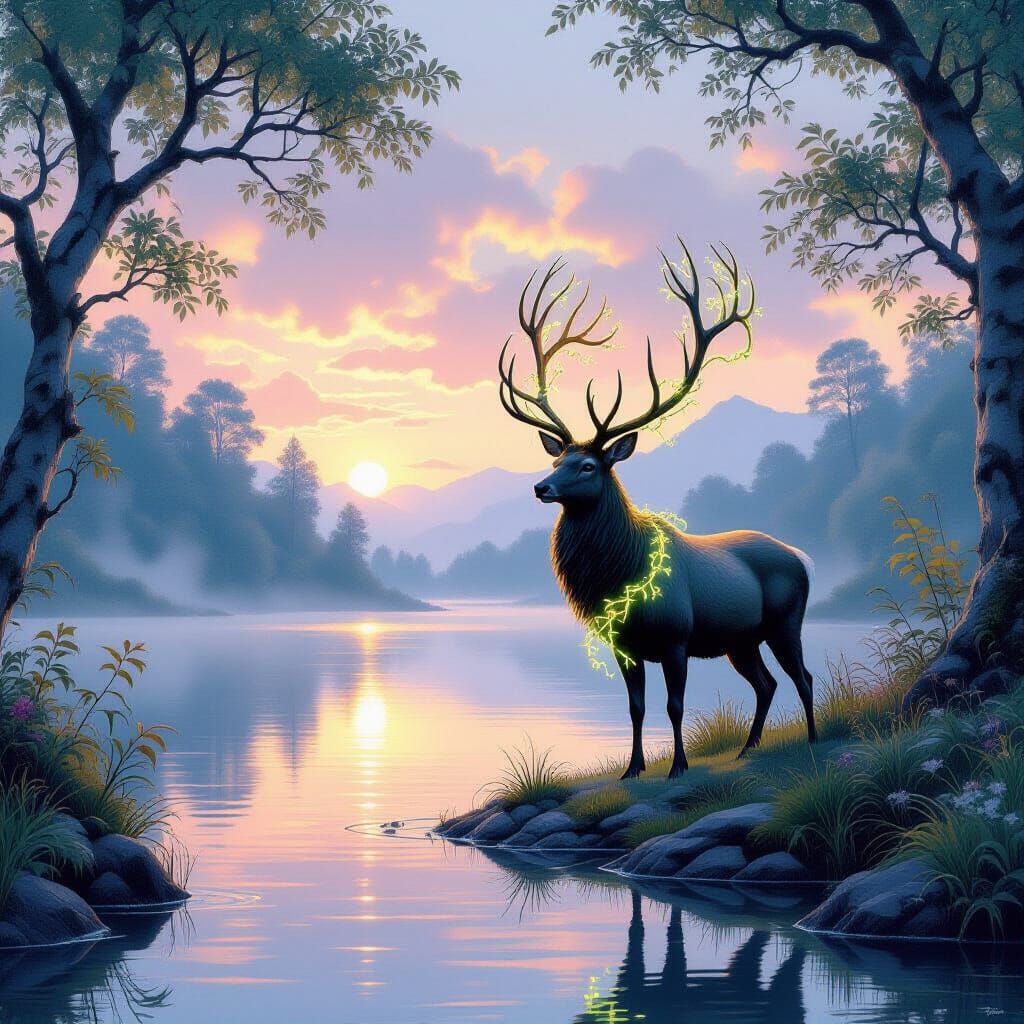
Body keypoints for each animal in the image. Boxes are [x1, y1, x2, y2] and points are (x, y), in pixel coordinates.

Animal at [498, 239, 817, 779]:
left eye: (588, 465)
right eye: (558, 459)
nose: (541, 486)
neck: (620, 576)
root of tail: (803, 557)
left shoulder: (675, 639)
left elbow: (675, 705)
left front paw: (678, 767)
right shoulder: (623, 645)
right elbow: (636, 707)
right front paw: (633, 769)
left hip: (784, 621)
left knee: (803, 677)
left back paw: (814, 739)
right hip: (741, 640)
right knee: (767, 683)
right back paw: (748, 748)